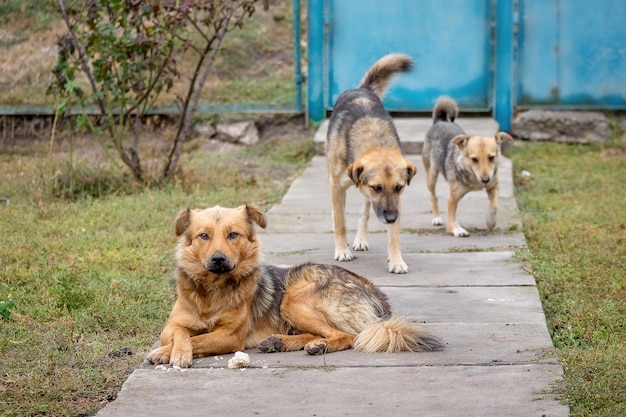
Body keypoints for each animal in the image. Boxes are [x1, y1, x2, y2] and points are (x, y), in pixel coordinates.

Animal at [147, 205, 442, 368]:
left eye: (233, 234)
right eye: (203, 236)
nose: (218, 260)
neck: (212, 292)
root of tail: (376, 293)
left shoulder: (229, 336)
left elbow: (197, 339)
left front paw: (168, 353)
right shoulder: (171, 326)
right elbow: (182, 333)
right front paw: (172, 351)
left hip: (296, 298)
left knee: (346, 336)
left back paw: (315, 346)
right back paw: (281, 342)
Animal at [324, 52, 416, 272]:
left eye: (399, 187)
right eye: (377, 187)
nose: (391, 218)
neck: (376, 140)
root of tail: (362, 89)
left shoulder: (395, 202)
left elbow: (394, 236)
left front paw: (396, 260)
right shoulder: (337, 186)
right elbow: (340, 221)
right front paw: (342, 250)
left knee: (364, 212)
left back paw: (360, 239)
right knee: (338, 213)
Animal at [420, 95, 512, 236]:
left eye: (491, 157)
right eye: (474, 159)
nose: (485, 180)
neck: (474, 178)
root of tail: (440, 121)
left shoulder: (493, 186)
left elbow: (495, 205)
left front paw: (490, 220)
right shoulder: (453, 197)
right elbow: (451, 216)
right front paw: (456, 229)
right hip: (431, 175)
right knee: (433, 196)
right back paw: (436, 217)